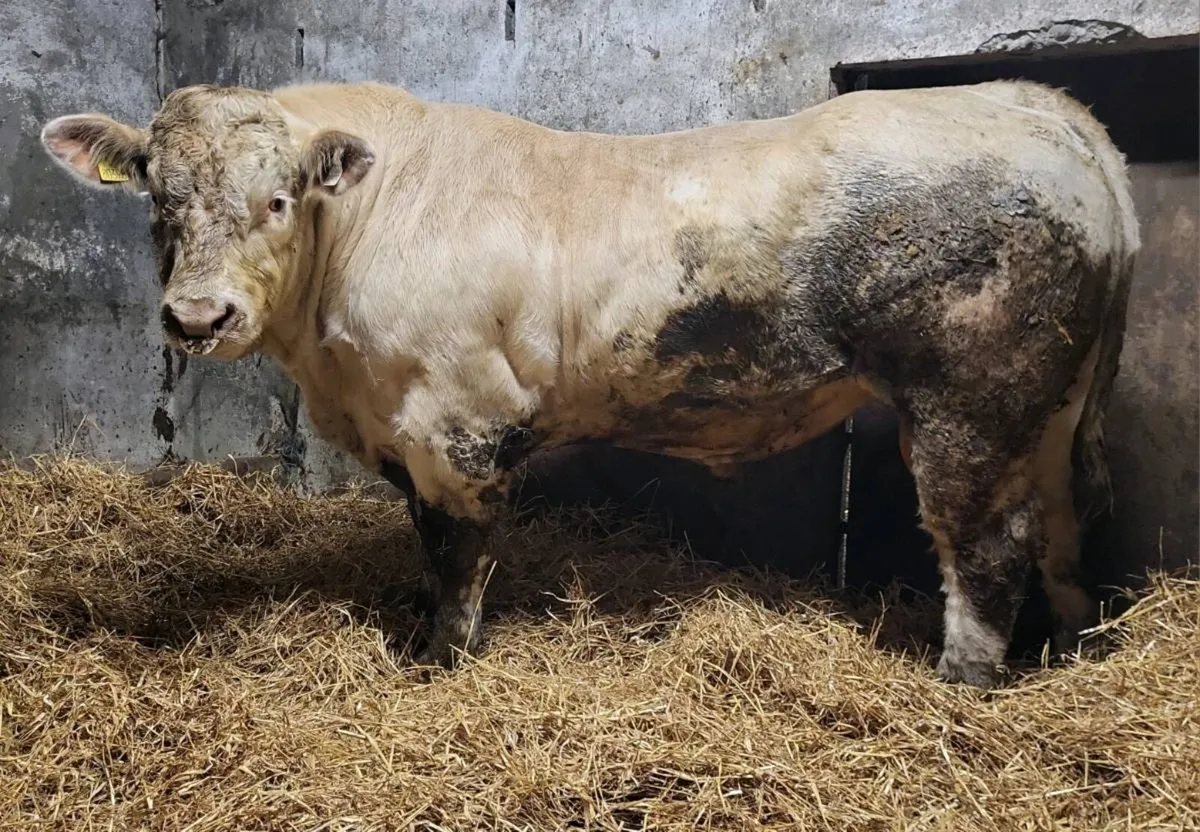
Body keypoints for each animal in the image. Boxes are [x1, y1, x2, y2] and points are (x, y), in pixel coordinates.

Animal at [40, 78, 1137, 688]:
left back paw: (962, 678)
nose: (198, 317)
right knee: (1070, 520)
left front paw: (442, 658)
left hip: (971, 402)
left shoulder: (459, 423)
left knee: (989, 543)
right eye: (158, 199)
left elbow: (458, 556)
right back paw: (1074, 649)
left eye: (278, 198)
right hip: (1052, 409)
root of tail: (1032, 105)